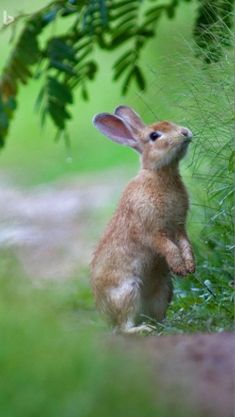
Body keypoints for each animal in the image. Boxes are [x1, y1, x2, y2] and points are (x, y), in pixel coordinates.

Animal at [91, 105, 196, 334]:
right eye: (154, 136)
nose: (185, 132)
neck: (160, 175)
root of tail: (105, 316)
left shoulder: (179, 227)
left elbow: (185, 244)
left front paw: (190, 267)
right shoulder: (150, 230)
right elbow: (167, 247)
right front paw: (180, 266)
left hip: (164, 290)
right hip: (127, 291)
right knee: (123, 327)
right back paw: (143, 329)